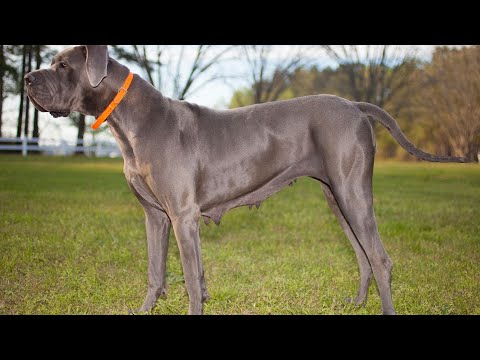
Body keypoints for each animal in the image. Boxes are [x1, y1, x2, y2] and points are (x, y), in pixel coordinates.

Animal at [24, 45, 470, 316]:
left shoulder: (183, 216)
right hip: (338, 197)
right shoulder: (156, 217)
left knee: (379, 258)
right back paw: (357, 303)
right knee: (362, 255)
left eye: (63, 65)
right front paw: (145, 309)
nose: (28, 79)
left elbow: (190, 278)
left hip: (352, 194)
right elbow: (157, 273)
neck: (132, 122)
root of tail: (356, 105)